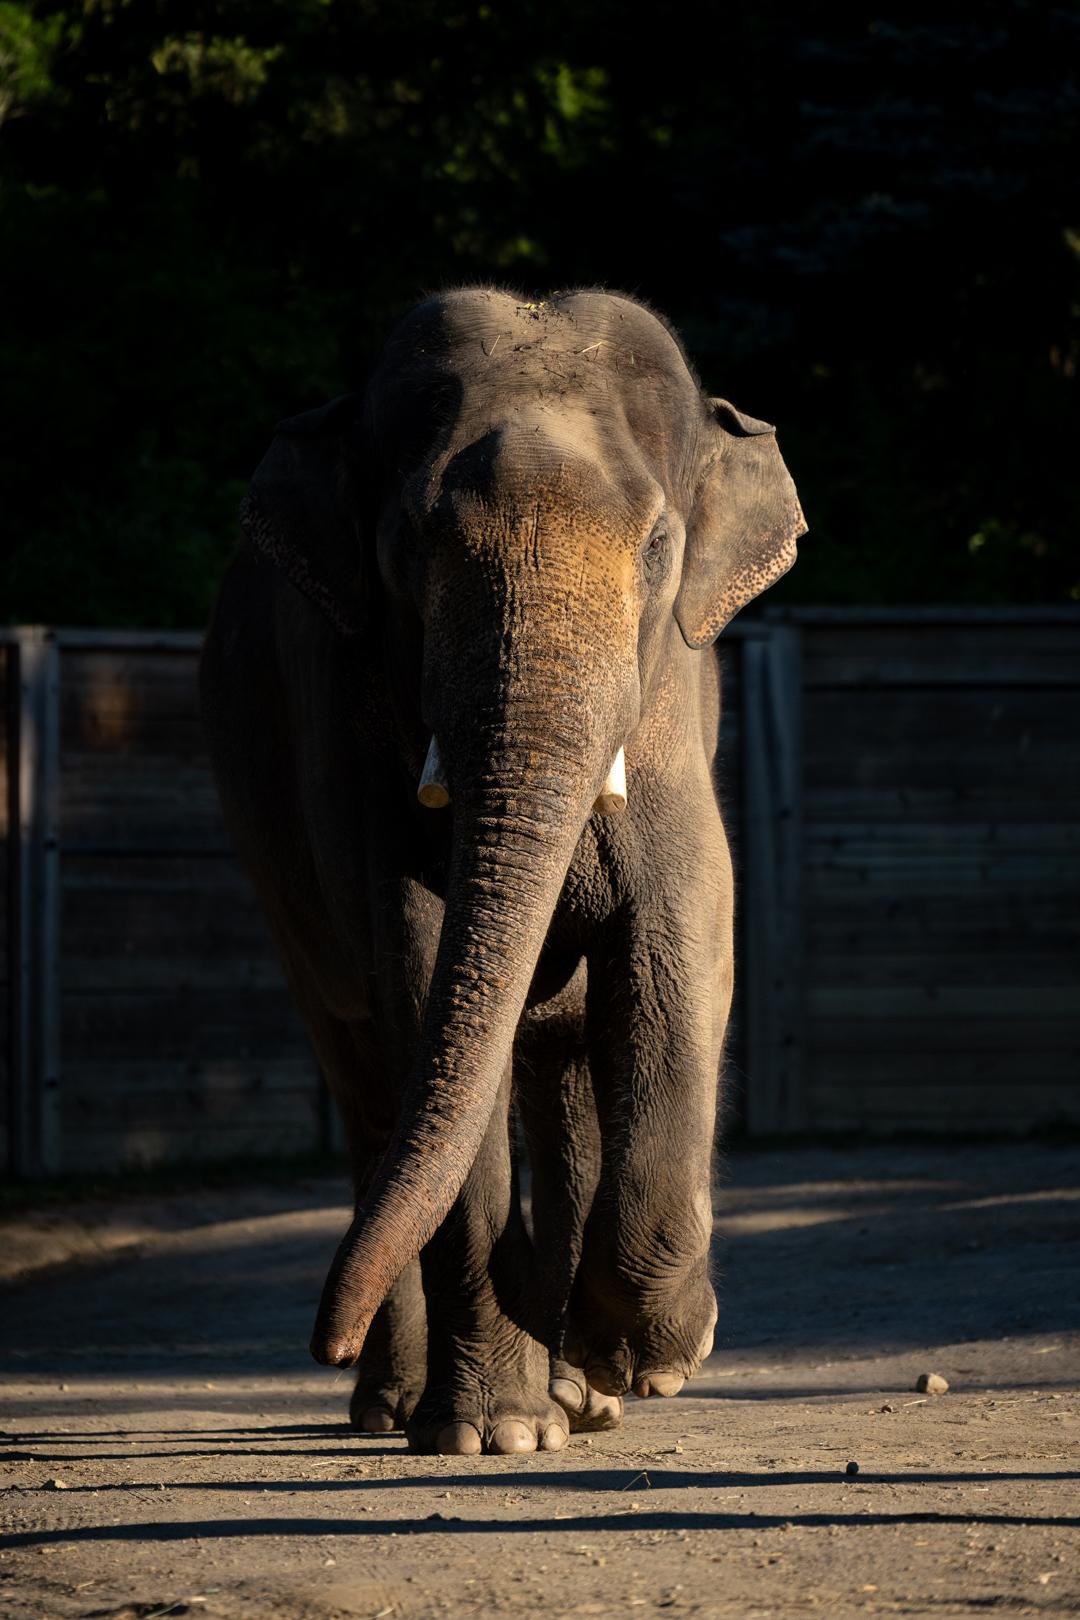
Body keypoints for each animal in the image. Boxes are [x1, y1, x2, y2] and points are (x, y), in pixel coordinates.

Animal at [199, 286, 805, 1455]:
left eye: (659, 545)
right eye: (409, 545)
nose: (321, 1340)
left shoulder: (674, 709)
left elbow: (681, 944)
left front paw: (650, 1358)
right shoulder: (355, 735)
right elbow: (420, 964)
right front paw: (495, 1435)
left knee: (557, 1074)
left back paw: (585, 1395)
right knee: (372, 1084)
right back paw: (402, 1406)